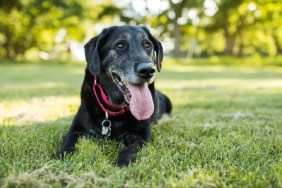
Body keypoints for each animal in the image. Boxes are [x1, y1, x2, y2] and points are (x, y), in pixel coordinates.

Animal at [59, 25, 172, 167]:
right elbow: (67, 145)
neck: (114, 108)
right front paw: (64, 157)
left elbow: (131, 148)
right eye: (120, 45)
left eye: (147, 45)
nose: (148, 71)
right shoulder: (75, 130)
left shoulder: (142, 135)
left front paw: (122, 162)